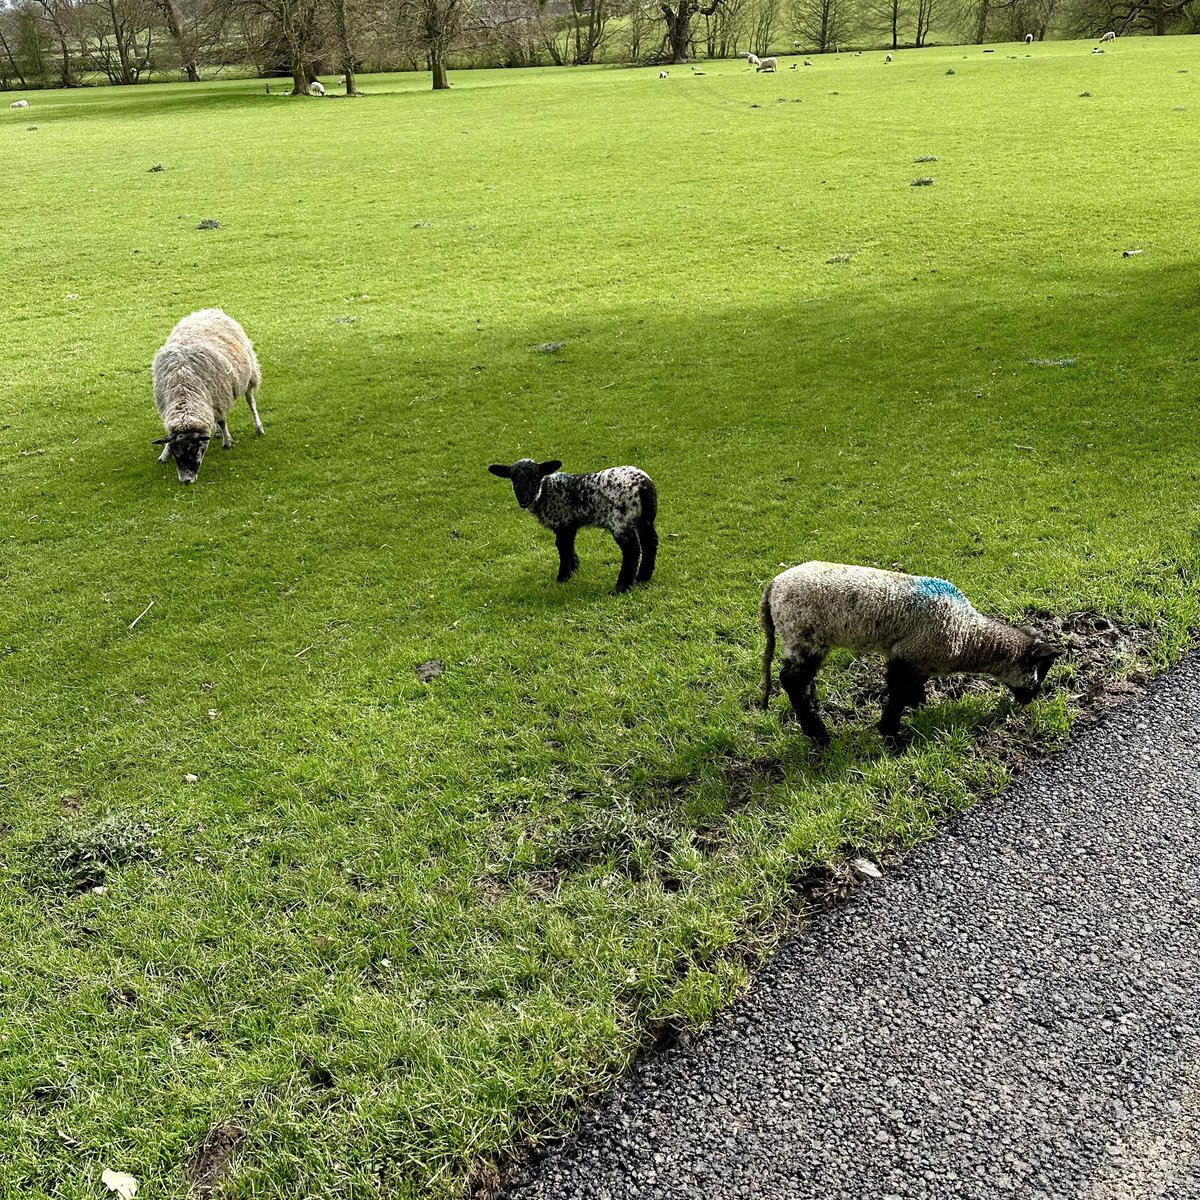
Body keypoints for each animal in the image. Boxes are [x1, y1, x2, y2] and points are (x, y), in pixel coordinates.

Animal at [151, 308, 264, 485]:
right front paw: (164, 454)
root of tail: (209, 310)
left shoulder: (219, 398)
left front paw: (227, 443)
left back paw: (258, 427)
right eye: (176, 453)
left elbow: (223, 421)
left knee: (250, 401)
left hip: (249, 374)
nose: (186, 481)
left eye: (194, 450)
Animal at [487, 459, 658, 593]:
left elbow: (562, 547)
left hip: (621, 520)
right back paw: (643, 577)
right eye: (513, 478)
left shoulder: (562, 522)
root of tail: (643, 486)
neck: (546, 491)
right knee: (650, 543)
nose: (523, 500)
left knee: (632, 551)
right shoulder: (570, 524)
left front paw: (563, 577)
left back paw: (621, 587)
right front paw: (574, 568)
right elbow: (569, 546)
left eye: (535, 476)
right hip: (645, 519)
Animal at [759, 562, 1062, 751]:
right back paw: (818, 734)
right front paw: (891, 733)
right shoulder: (905, 656)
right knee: (791, 680)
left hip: (799, 638)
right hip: (802, 634)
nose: (1029, 701)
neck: (968, 635)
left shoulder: (922, 659)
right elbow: (897, 694)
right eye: (1040, 673)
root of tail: (772, 587)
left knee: (800, 679)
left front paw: (919, 705)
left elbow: (915, 686)